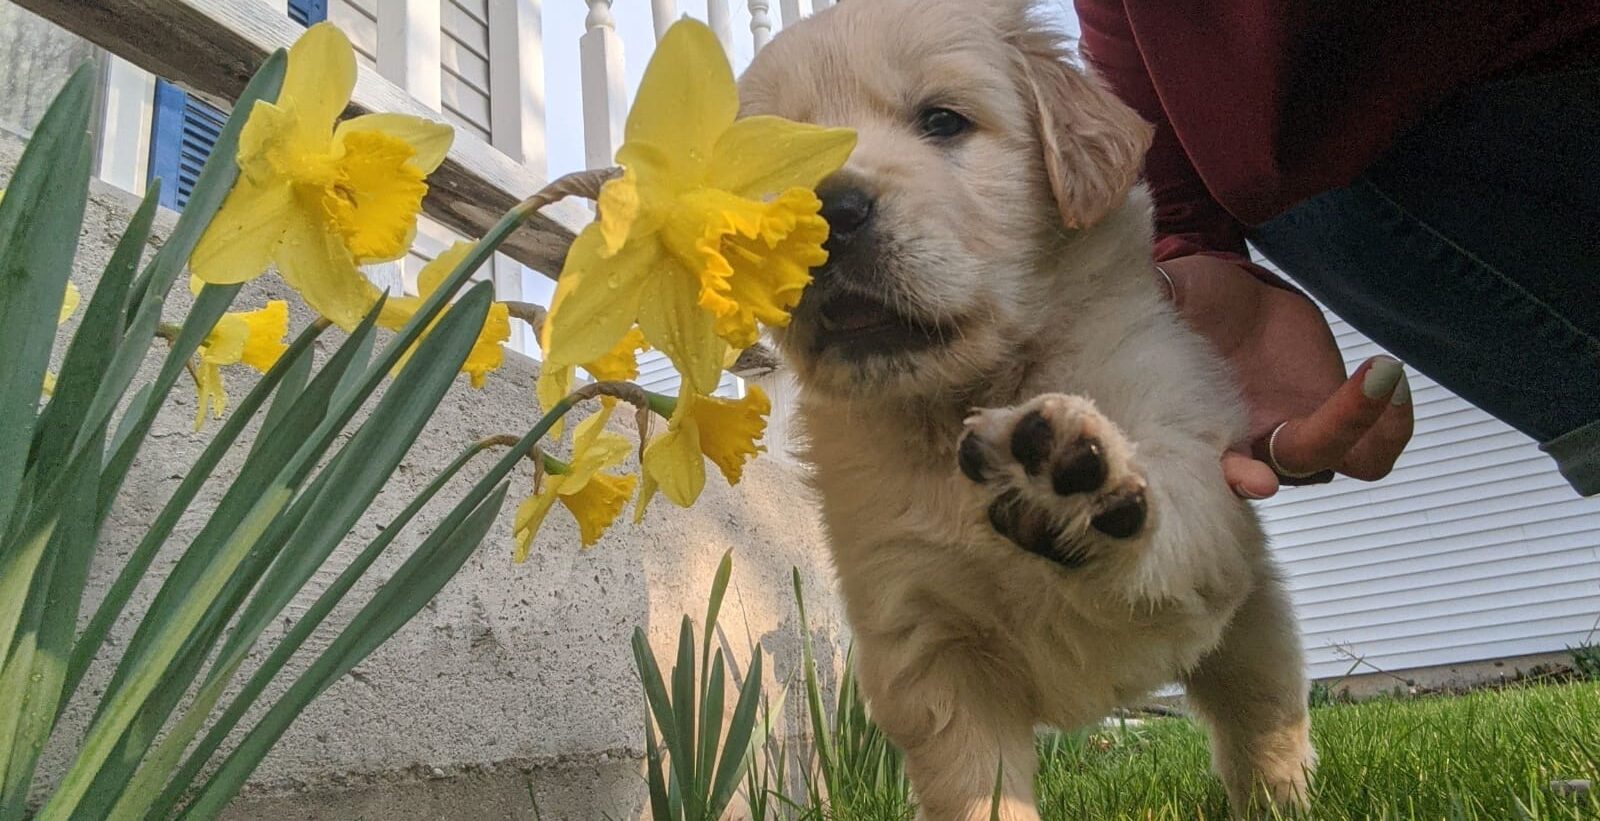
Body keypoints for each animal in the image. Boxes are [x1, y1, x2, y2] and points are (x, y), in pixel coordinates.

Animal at [742, 1, 1318, 819]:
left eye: (942, 121)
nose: (830, 209)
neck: (969, 397)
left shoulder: (1191, 478)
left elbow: (1172, 516)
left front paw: (1068, 485)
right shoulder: (926, 643)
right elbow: (977, 788)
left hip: (1254, 631)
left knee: (1264, 724)